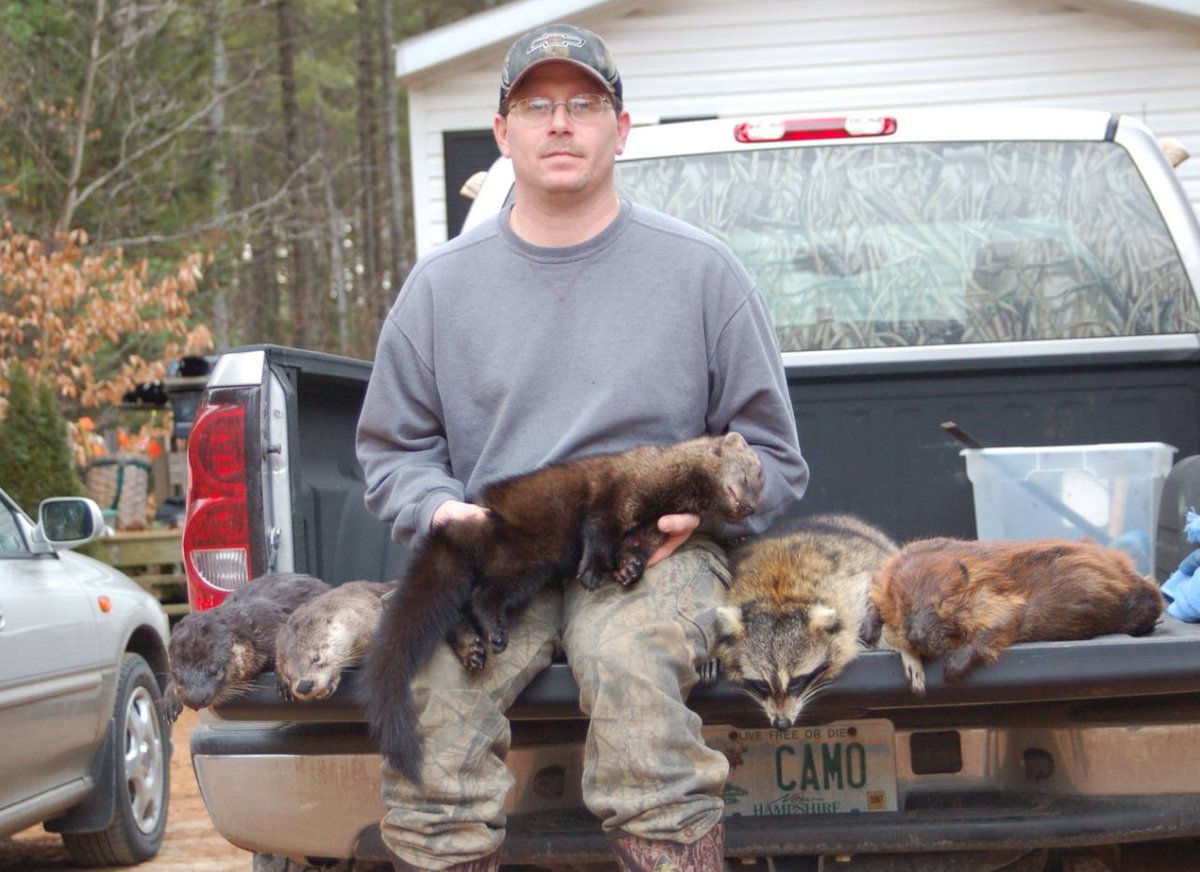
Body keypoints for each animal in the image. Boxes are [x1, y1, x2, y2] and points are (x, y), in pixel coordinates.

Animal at [360, 434, 763, 782]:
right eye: (747, 478)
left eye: (759, 491)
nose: (748, 508)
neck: (664, 490)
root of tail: (473, 526)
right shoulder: (616, 492)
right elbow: (598, 532)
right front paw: (593, 571)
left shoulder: (654, 526)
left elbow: (636, 545)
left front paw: (628, 569)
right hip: (525, 559)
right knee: (480, 598)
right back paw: (493, 634)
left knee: (460, 611)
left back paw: (473, 648)